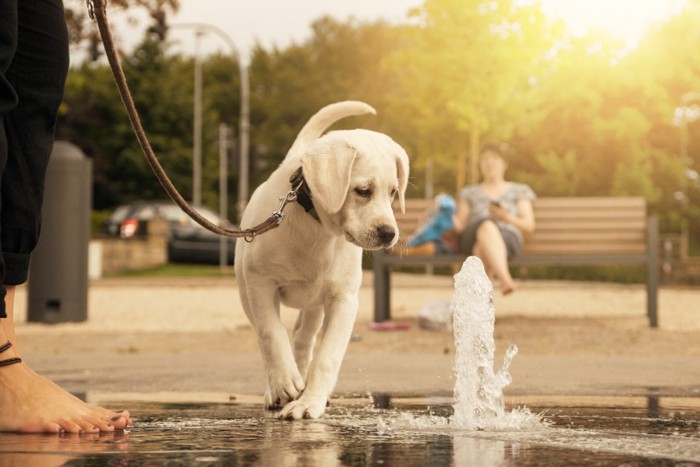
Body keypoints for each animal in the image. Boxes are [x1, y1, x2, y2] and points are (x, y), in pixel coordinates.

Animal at [237, 100, 410, 418]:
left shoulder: (343, 299)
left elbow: (328, 355)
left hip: (314, 306)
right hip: (247, 295)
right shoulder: (260, 284)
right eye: (363, 191)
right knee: (267, 337)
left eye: (393, 192)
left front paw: (309, 402)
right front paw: (284, 382)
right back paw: (277, 388)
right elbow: (271, 334)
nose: (388, 233)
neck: (317, 228)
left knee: (303, 339)